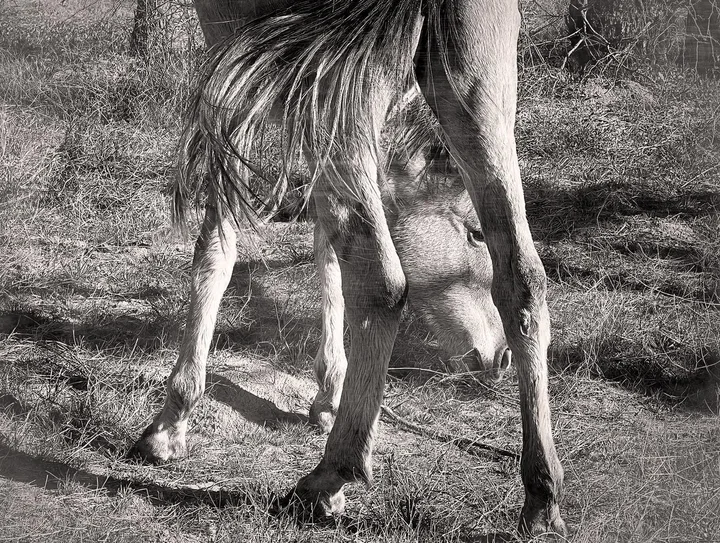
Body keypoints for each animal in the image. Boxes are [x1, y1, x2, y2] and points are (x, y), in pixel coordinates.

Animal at [131, 0, 567, 537]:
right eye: (473, 232)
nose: (497, 359)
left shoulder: (237, 52)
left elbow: (219, 241)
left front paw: (171, 422)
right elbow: (326, 247)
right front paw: (329, 391)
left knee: (383, 283)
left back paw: (329, 476)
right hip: (477, 87)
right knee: (524, 279)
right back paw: (542, 496)